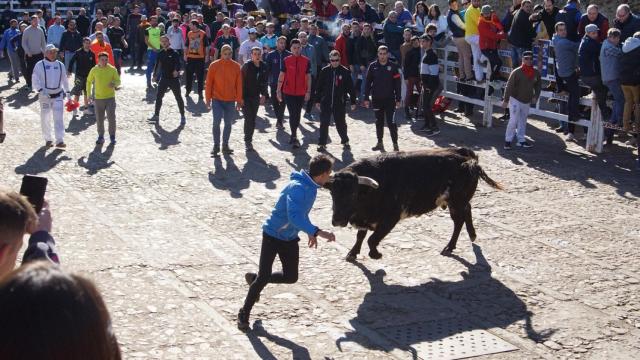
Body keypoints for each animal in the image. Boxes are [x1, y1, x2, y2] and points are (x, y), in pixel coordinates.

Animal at [324, 148, 500, 260]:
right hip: (458, 201)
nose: (337, 220)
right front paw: (352, 253)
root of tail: (467, 157)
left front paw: (376, 255)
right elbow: (360, 236)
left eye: (353, 194)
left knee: (458, 221)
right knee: (468, 209)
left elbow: (372, 240)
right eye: (332, 193)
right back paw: (472, 234)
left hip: (456, 202)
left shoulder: (390, 219)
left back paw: (449, 247)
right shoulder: (364, 219)